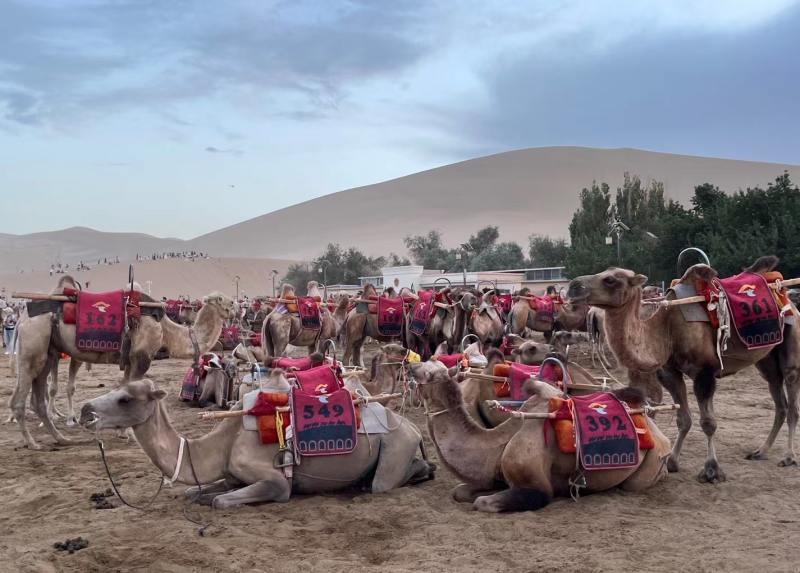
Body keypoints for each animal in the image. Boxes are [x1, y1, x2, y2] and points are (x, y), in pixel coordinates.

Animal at [11, 274, 231, 450]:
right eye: (221, 299)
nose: (235, 307)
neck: (166, 330)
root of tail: (22, 318)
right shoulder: (142, 357)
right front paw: (130, 433)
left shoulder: (130, 359)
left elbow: (126, 387)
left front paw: (122, 432)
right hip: (33, 344)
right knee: (19, 399)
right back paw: (32, 443)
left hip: (48, 352)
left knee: (38, 397)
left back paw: (61, 439)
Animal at [79, 374, 438, 508]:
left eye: (125, 398)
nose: (85, 411)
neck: (222, 443)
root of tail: (412, 426)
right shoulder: (230, 474)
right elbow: (195, 493)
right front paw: (200, 495)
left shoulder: (276, 482)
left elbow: (221, 501)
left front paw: (215, 500)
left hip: (395, 446)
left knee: (384, 482)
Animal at [412, 360, 668, 512]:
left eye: (427, 373)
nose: (412, 365)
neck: (498, 443)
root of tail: (658, 431)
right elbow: (460, 492)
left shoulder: (537, 489)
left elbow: (482, 503)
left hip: (652, 461)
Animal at [564, 256, 800, 482]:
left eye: (610, 280)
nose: (573, 287)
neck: (667, 327)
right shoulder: (670, 372)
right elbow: (683, 419)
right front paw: (672, 462)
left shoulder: (705, 372)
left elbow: (708, 423)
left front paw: (712, 470)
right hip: (767, 360)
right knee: (779, 400)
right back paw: (761, 451)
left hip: (791, 343)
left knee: (792, 400)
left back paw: (788, 457)